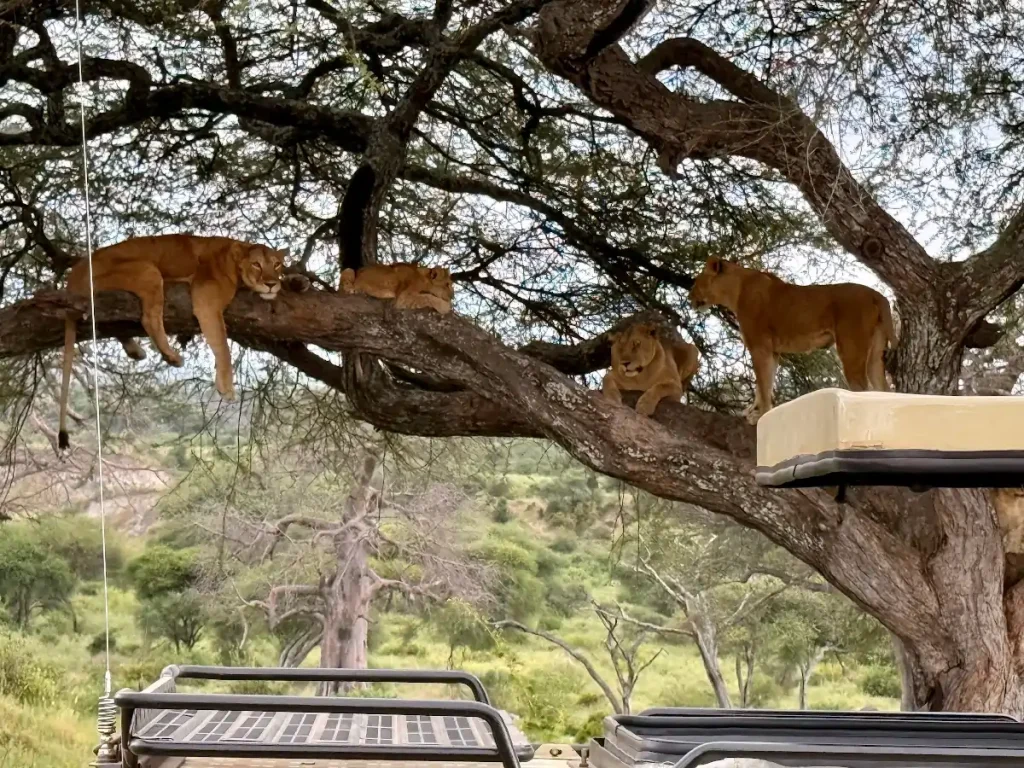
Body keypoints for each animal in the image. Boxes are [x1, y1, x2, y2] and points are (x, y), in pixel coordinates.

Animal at [58, 234, 288, 449]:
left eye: (277, 264)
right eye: (256, 264)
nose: (271, 284)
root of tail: (74, 274)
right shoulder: (206, 299)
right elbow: (222, 345)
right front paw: (226, 387)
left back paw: (135, 351)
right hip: (148, 270)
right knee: (149, 318)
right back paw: (171, 356)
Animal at [688, 256, 895, 424]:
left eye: (696, 281)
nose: (689, 297)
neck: (736, 289)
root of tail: (877, 295)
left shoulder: (760, 346)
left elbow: (762, 384)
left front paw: (761, 417)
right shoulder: (772, 351)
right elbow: (764, 385)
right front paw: (755, 412)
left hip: (851, 351)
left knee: (863, 390)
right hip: (875, 355)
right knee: (884, 390)